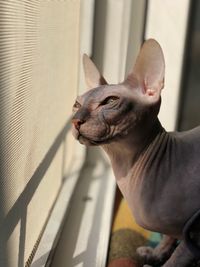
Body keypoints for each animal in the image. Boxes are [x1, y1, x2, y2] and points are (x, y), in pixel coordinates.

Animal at [71, 39, 200, 267]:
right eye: (77, 104)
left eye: (109, 101)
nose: (75, 121)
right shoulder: (181, 233)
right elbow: (169, 236)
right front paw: (156, 253)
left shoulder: (194, 236)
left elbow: (177, 259)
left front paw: (163, 260)